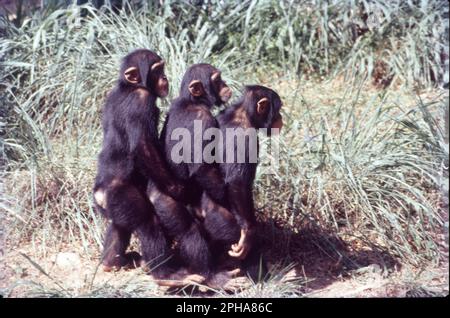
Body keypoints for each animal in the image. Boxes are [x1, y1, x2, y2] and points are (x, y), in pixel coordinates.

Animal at [93, 49, 202, 286]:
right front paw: (177, 189)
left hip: (112, 207)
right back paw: (167, 275)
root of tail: (99, 194)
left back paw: (110, 263)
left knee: (119, 226)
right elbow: (143, 146)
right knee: (148, 223)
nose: (165, 77)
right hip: (123, 197)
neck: (129, 87)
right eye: (157, 70)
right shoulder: (141, 101)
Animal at [147, 63, 234, 280]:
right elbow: (202, 167)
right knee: (189, 231)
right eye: (217, 80)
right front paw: (225, 198)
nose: (225, 84)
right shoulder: (204, 122)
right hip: (165, 202)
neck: (193, 101)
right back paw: (210, 276)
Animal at [200, 84, 284, 280]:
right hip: (220, 220)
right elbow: (237, 183)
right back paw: (264, 278)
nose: (281, 117)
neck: (244, 113)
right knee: (245, 246)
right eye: (278, 109)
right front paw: (247, 232)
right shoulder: (246, 138)